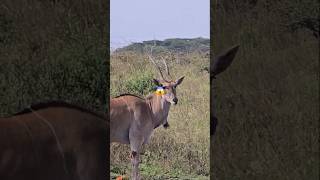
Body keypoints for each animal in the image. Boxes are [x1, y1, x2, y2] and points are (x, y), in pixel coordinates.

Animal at [110, 49, 184, 180]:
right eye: (163, 86)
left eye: (175, 86)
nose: (175, 100)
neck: (148, 108)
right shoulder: (136, 140)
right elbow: (135, 161)